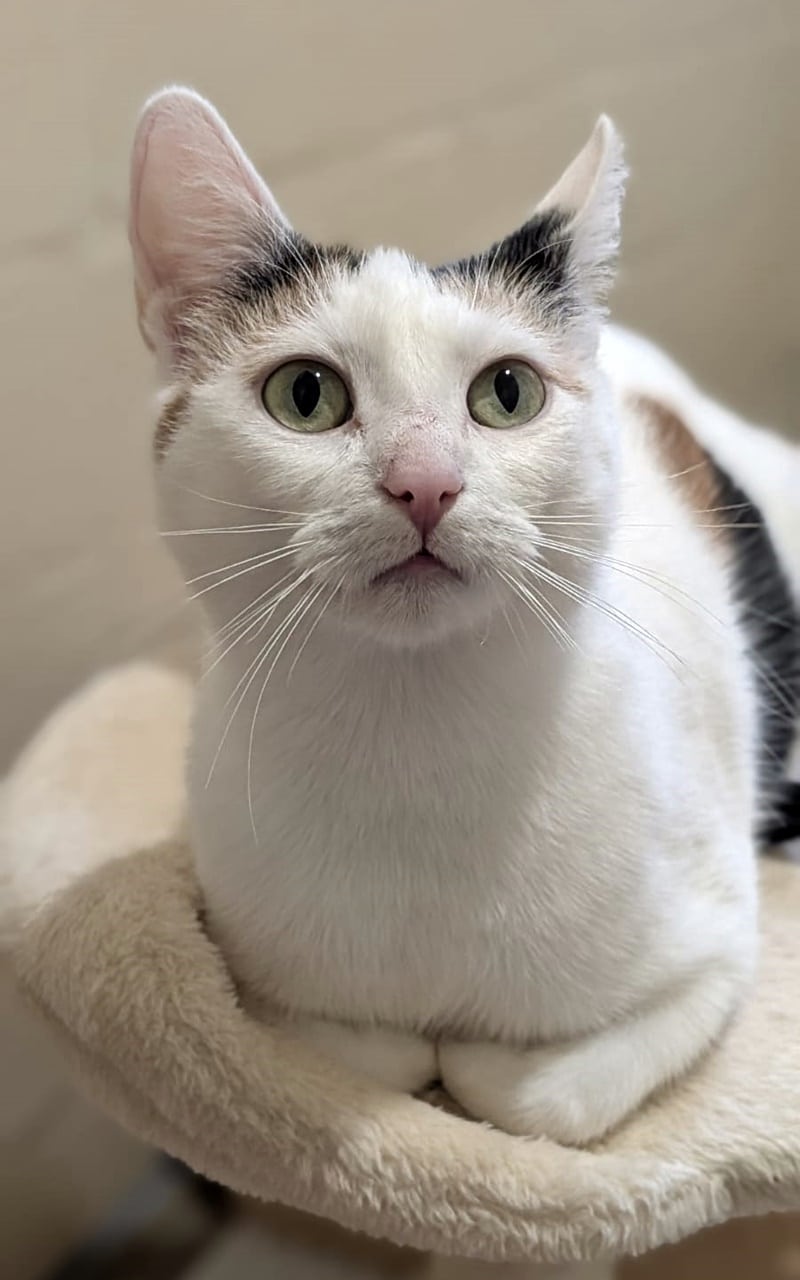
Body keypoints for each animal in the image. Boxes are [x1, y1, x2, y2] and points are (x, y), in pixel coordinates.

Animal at [129, 87, 800, 1144]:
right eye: (305, 395)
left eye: (507, 392)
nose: (425, 484)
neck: (412, 737)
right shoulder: (249, 969)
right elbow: (368, 1049)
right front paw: (418, 1046)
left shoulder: (720, 951)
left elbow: (534, 1096)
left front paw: (481, 1057)